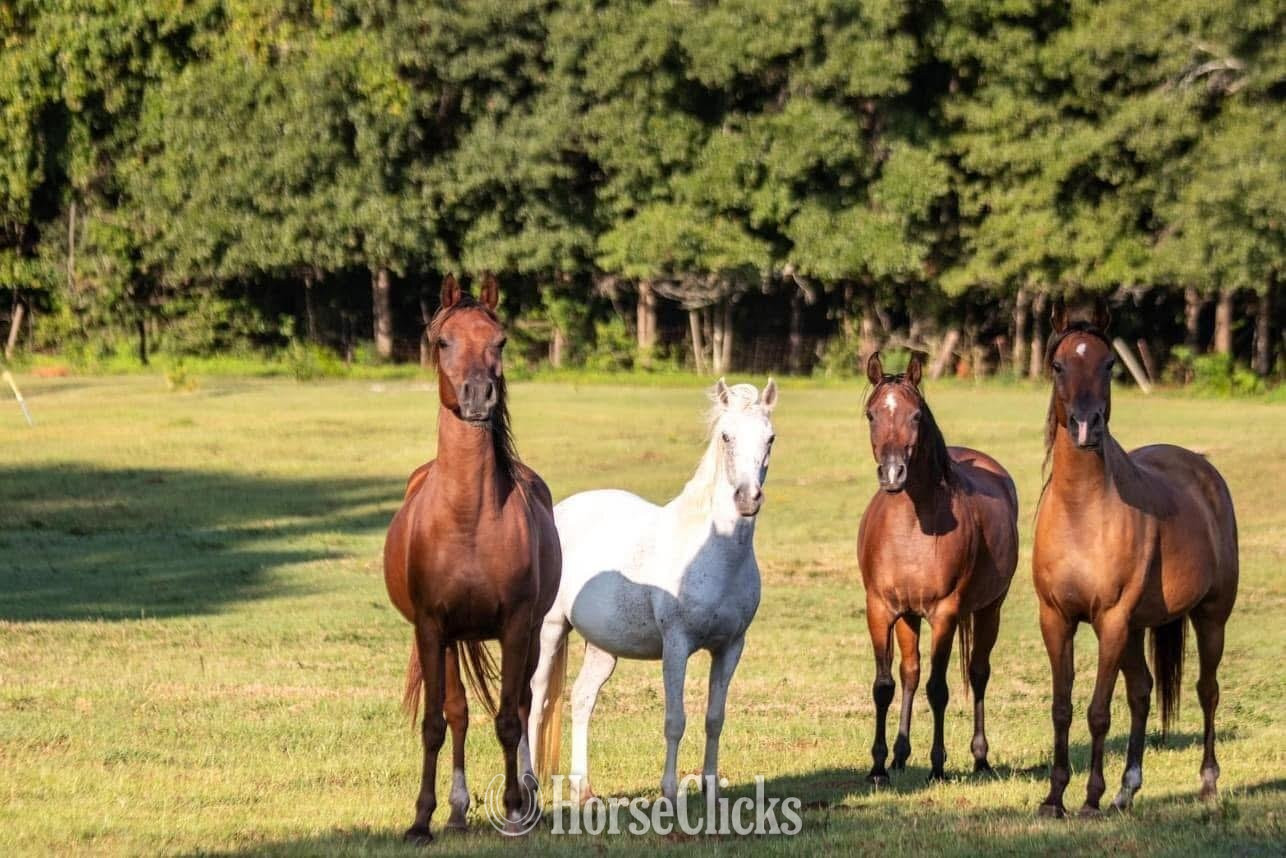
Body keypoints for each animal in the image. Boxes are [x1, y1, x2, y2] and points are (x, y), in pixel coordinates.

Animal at [383, 274, 561, 842]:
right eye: (444, 342)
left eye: (499, 342)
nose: (479, 396)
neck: (468, 518)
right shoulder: (432, 626)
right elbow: (436, 722)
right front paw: (421, 819)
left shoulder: (517, 624)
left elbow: (508, 718)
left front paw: (514, 808)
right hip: (451, 639)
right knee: (458, 711)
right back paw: (458, 810)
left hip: (527, 634)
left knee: (522, 704)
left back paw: (527, 797)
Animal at [526, 379, 778, 804]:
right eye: (726, 436)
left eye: (770, 438)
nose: (748, 498)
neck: (713, 553)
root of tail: (557, 512)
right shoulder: (676, 645)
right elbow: (676, 719)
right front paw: (670, 792)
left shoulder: (730, 647)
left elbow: (715, 718)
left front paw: (711, 788)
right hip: (550, 629)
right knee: (537, 695)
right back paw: (526, 783)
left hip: (603, 647)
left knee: (582, 698)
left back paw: (582, 788)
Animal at [857, 351, 1019, 784]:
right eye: (872, 414)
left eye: (916, 415)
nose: (892, 474)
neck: (912, 526)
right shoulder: (881, 609)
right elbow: (885, 684)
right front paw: (878, 767)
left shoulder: (945, 614)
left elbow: (939, 689)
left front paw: (937, 766)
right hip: (910, 617)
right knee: (910, 673)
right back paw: (899, 756)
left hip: (989, 610)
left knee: (978, 673)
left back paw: (980, 757)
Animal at [1033, 301, 1238, 818]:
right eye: (1058, 365)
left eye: (1109, 365)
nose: (1086, 426)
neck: (1082, 510)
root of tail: (1204, 471)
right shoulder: (1057, 619)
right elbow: (1062, 708)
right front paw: (1054, 798)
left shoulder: (1110, 619)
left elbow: (1098, 712)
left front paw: (1088, 799)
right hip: (1137, 628)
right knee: (1143, 692)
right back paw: (1127, 789)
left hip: (1209, 617)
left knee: (1207, 690)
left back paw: (1208, 784)